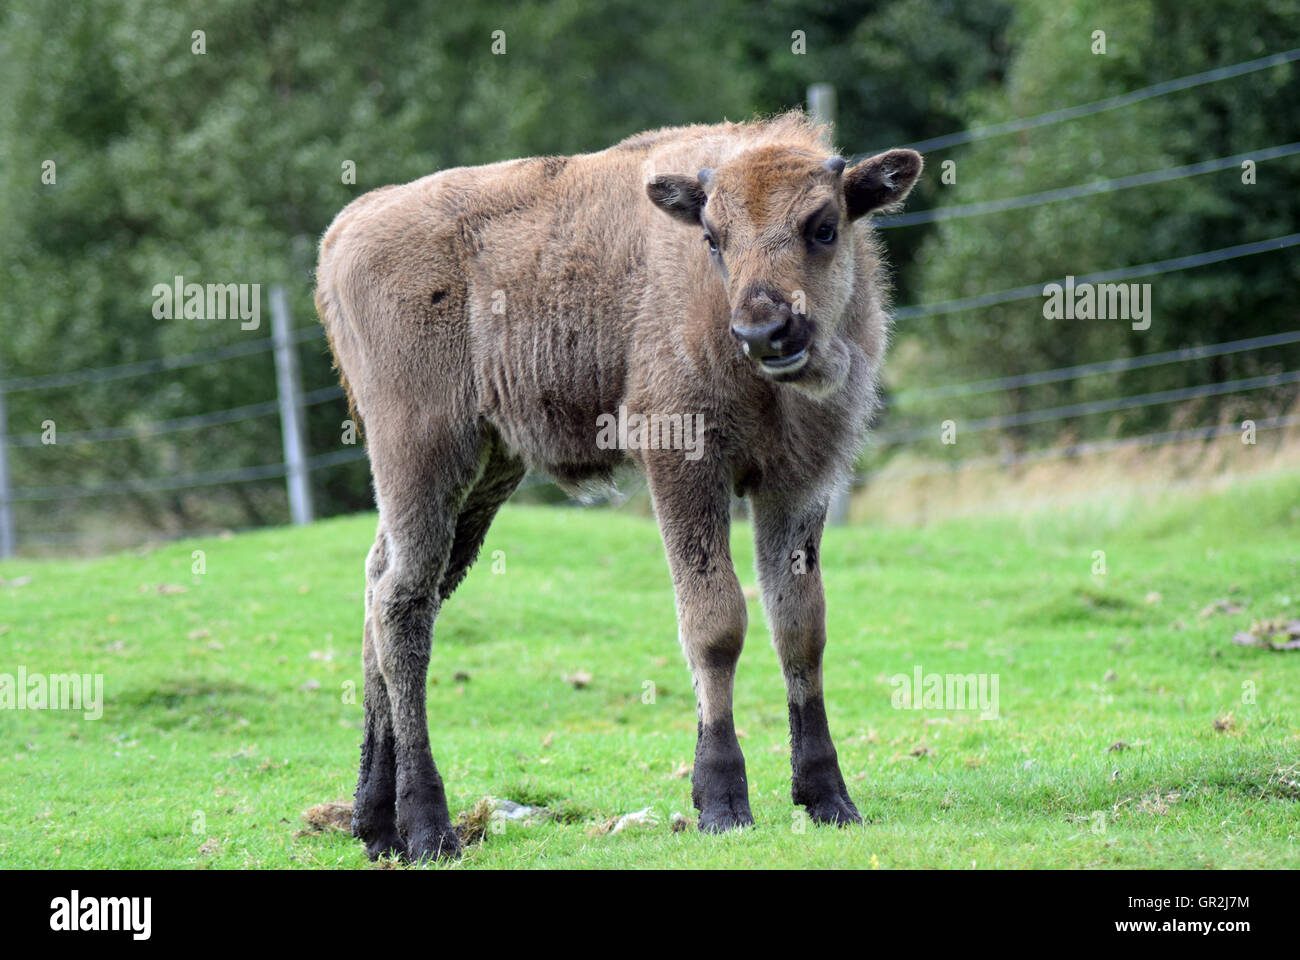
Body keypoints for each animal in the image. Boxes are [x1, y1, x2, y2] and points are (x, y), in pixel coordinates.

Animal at [315, 111, 925, 858]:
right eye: (713, 237)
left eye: (824, 226)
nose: (764, 330)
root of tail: (348, 226)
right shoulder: (683, 465)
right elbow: (715, 621)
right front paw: (722, 799)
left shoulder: (798, 484)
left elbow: (799, 626)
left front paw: (828, 796)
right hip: (421, 455)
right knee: (402, 606)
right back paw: (430, 828)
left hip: (484, 472)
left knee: (384, 589)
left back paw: (376, 825)